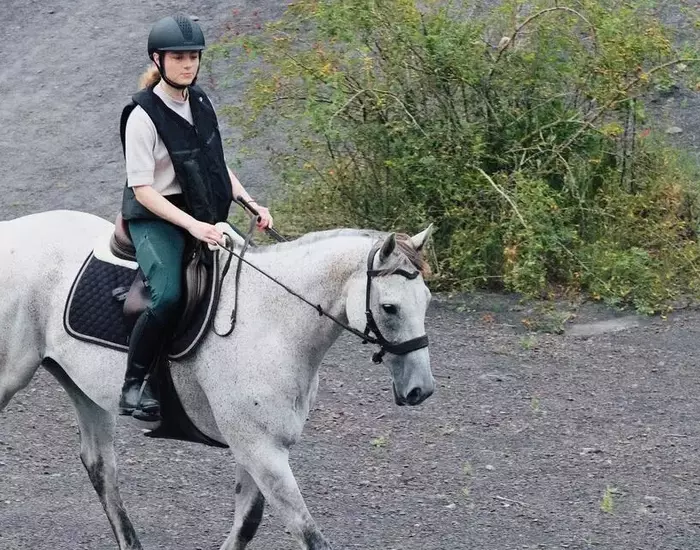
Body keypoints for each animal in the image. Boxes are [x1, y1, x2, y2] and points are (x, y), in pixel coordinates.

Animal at [0, 209, 435, 550]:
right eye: (389, 307)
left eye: (427, 300)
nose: (421, 390)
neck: (273, 321)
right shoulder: (260, 448)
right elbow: (308, 534)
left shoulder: (256, 446)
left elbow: (247, 524)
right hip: (10, 376)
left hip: (84, 390)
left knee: (100, 467)